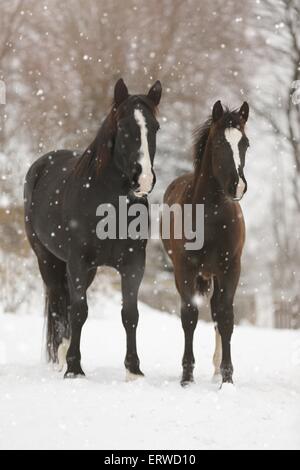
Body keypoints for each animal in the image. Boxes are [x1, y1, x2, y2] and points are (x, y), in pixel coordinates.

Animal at [24, 77, 163, 378]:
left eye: (155, 127)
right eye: (123, 127)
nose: (144, 178)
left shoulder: (134, 264)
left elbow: (130, 314)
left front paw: (133, 370)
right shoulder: (79, 261)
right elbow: (79, 312)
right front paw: (74, 368)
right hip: (48, 260)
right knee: (58, 304)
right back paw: (60, 359)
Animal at [163, 99, 250, 386]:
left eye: (245, 143)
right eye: (220, 143)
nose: (238, 186)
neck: (210, 216)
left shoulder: (230, 269)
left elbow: (226, 318)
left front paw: (227, 378)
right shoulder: (185, 269)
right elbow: (189, 315)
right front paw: (186, 376)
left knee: (216, 312)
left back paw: (215, 371)